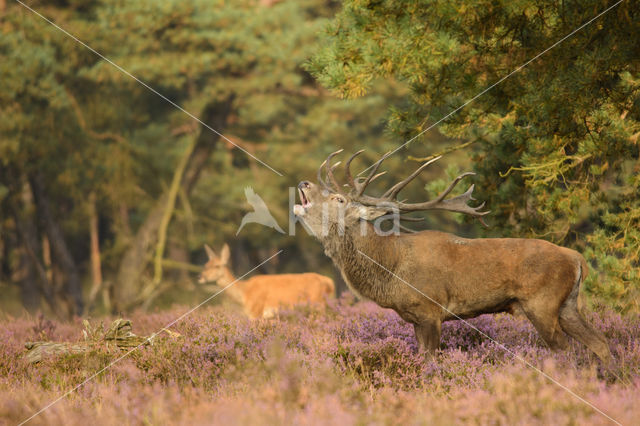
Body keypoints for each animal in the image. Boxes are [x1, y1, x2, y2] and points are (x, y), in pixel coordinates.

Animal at [200, 245, 336, 318]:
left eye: (217, 266)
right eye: (206, 265)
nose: (201, 277)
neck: (244, 294)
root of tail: (329, 282)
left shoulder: (256, 312)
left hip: (316, 305)